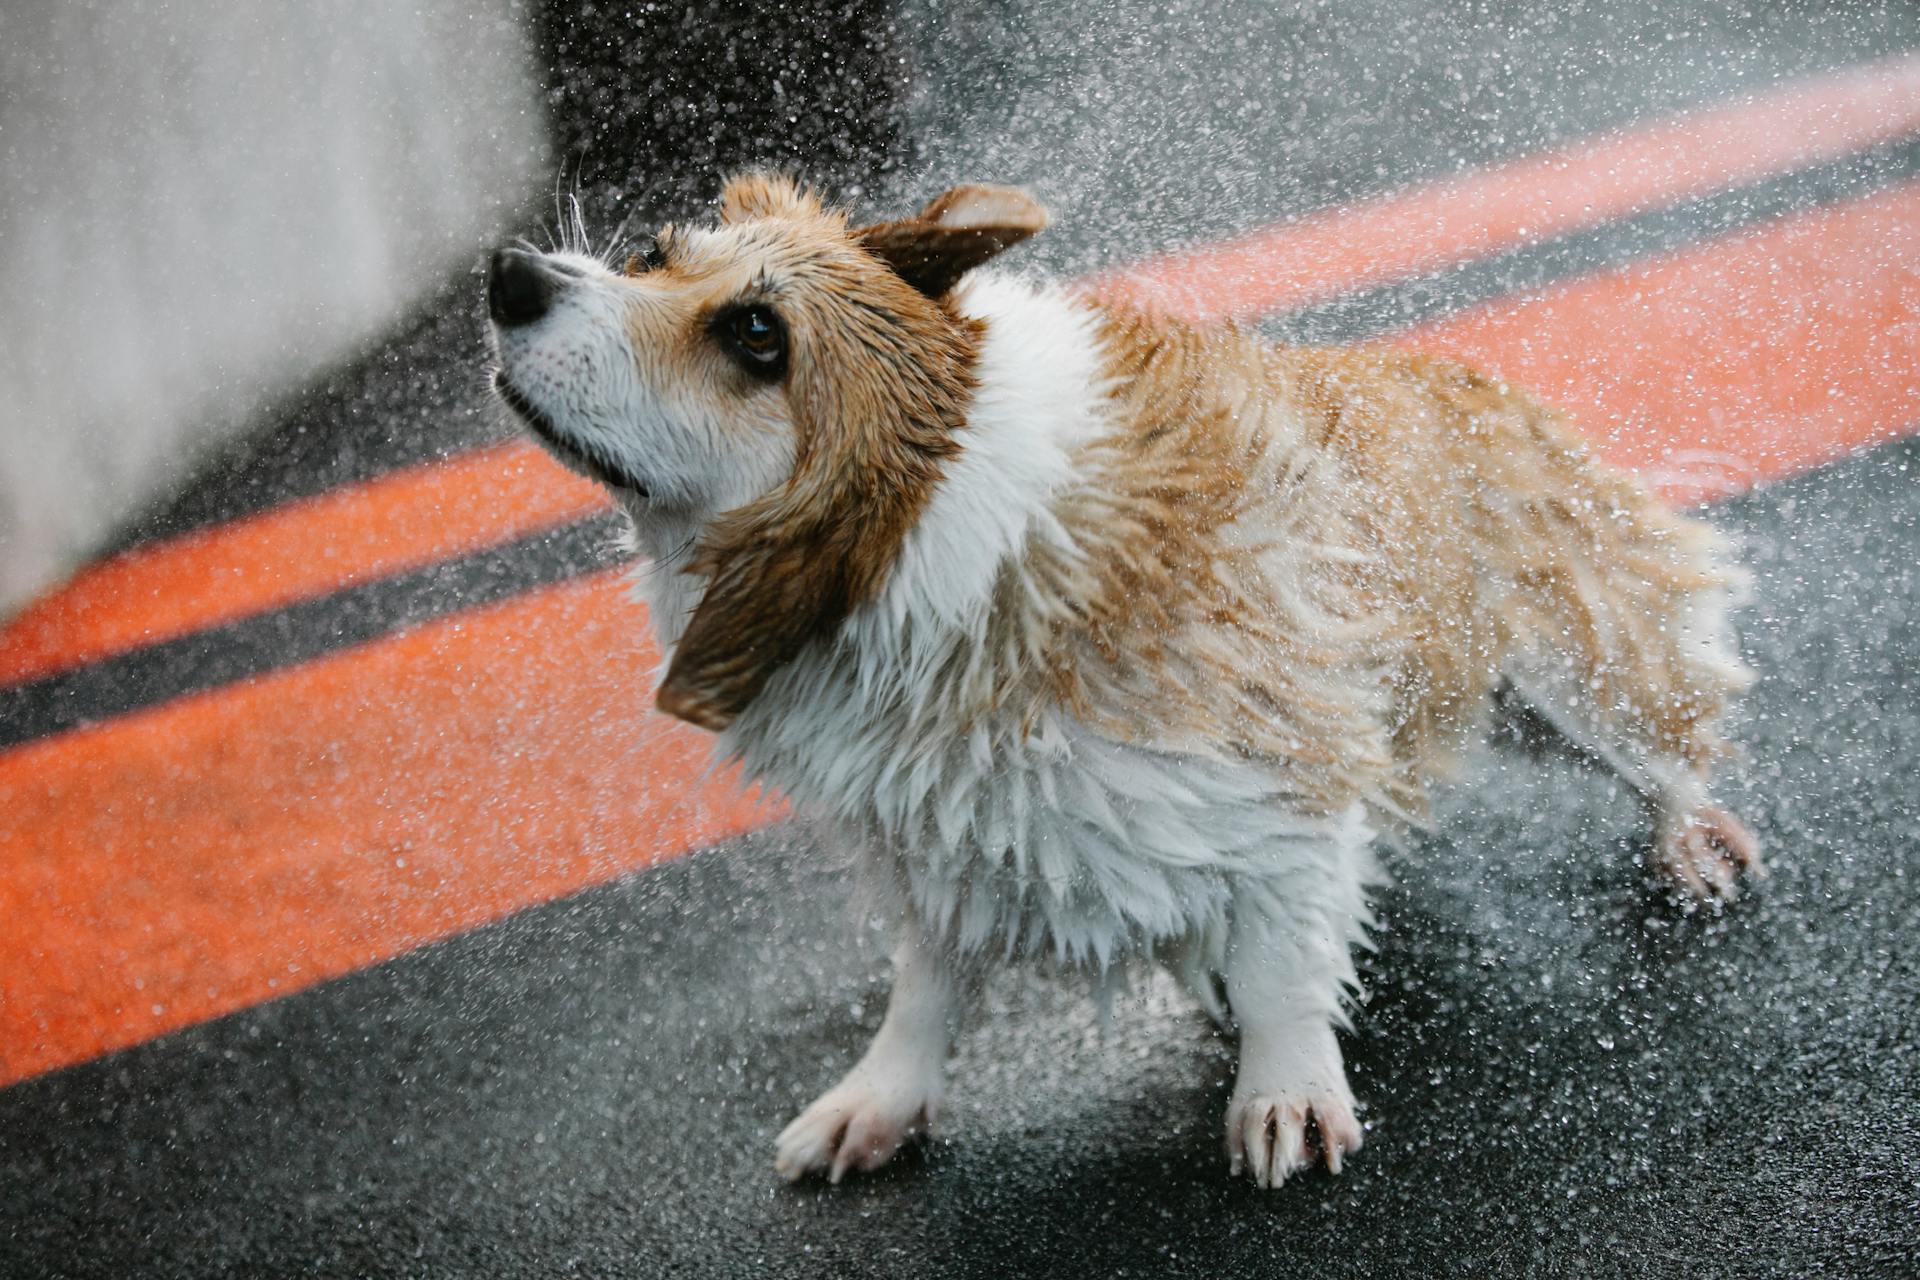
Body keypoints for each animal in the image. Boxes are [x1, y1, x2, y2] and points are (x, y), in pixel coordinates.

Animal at [480, 172, 1758, 1189]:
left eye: (756, 334)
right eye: (656, 251)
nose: (509, 275)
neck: (931, 544)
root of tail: (1461, 368)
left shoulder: (1284, 755)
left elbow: (1286, 949)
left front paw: (1284, 1088)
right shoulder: (932, 833)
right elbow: (924, 984)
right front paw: (880, 1100)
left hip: (1563, 680)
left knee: (1667, 735)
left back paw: (1695, 836)